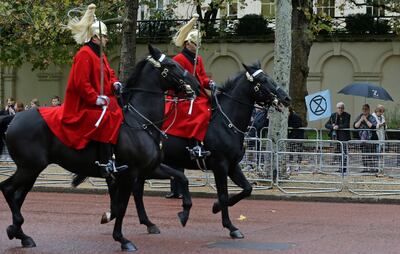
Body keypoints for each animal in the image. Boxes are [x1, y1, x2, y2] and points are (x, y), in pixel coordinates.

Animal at [0, 44, 200, 251]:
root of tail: (13, 117)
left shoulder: (150, 168)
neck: (141, 122)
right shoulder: (129, 174)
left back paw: (20, 233)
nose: (197, 84)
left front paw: (184, 212)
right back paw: (19, 231)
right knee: (7, 189)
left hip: (32, 170)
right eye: (171, 64)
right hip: (29, 168)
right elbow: (121, 206)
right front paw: (122, 239)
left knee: (17, 196)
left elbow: (181, 177)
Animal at [103, 61, 290, 238]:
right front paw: (230, 226)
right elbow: (223, 194)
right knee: (133, 189)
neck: (225, 122)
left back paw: (148, 223)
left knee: (137, 190)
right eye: (264, 80)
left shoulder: (232, 165)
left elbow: (247, 189)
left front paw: (216, 207)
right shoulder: (220, 165)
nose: (286, 98)